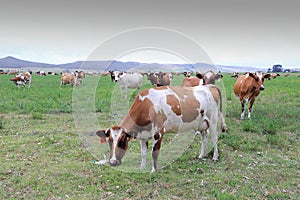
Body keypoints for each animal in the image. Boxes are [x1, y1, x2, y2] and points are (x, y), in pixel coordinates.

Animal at [96, 85, 227, 172]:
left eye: (122, 141)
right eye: (109, 141)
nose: (113, 162)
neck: (146, 105)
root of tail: (209, 86)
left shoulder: (158, 133)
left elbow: (154, 153)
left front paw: (153, 171)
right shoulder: (143, 136)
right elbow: (143, 153)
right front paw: (142, 168)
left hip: (213, 120)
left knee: (214, 138)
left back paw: (215, 157)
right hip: (201, 123)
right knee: (204, 137)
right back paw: (202, 155)